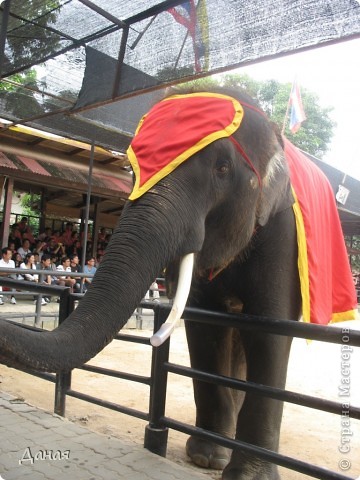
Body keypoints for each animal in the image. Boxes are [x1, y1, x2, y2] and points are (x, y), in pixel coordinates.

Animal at [0, 87, 356, 480]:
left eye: (222, 168)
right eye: (132, 169)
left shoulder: (284, 234)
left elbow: (269, 329)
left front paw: (245, 474)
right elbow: (204, 327)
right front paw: (206, 459)